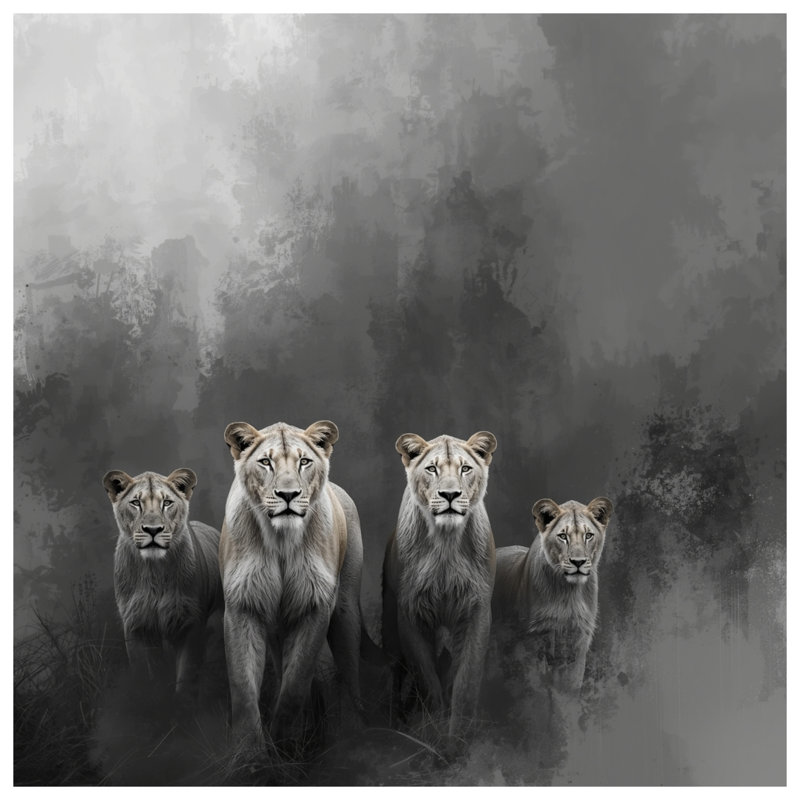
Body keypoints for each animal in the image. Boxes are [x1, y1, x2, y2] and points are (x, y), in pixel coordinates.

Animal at [102, 468, 223, 697]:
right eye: (136, 503)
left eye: (167, 503)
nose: (153, 529)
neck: (154, 571)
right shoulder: (136, 625)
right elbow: (146, 674)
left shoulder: (190, 623)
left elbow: (186, 677)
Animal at [219, 419, 371, 751]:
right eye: (266, 462)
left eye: (304, 462)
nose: (288, 494)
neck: (281, 540)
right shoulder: (242, 605)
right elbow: (242, 685)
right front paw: (250, 751)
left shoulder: (316, 606)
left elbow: (295, 684)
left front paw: (285, 742)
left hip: (345, 613)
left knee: (351, 675)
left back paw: (356, 730)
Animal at [382, 430, 498, 741]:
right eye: (432, 469)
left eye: (465, 468)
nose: (449, 495)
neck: (446, 541)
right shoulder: (409, 612)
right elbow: (427, 679)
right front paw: (434, 731)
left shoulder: (476, 611)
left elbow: (465, 682)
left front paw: (458, 737)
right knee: (396, 671)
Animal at [492, 496, 613, 693]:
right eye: (563, 536)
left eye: (588, 535)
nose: (578, 562)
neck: (569, 593)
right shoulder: (534, 641)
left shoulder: (578, 642)